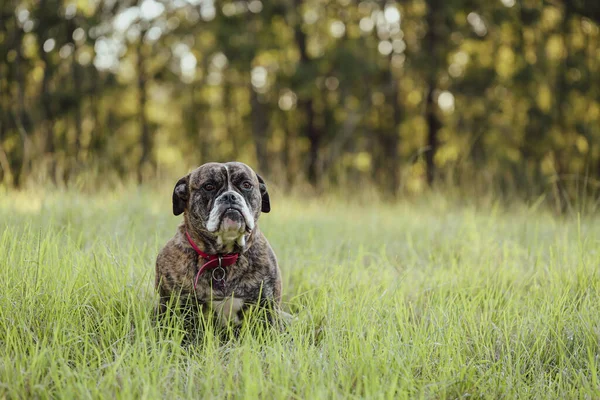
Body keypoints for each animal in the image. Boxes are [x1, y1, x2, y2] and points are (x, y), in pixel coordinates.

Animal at [157, 161, 284, 330]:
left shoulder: (267, 308)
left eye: (246, 184)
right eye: (209, 186)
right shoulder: (176, 309)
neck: (222, 257)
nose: (230, 196)